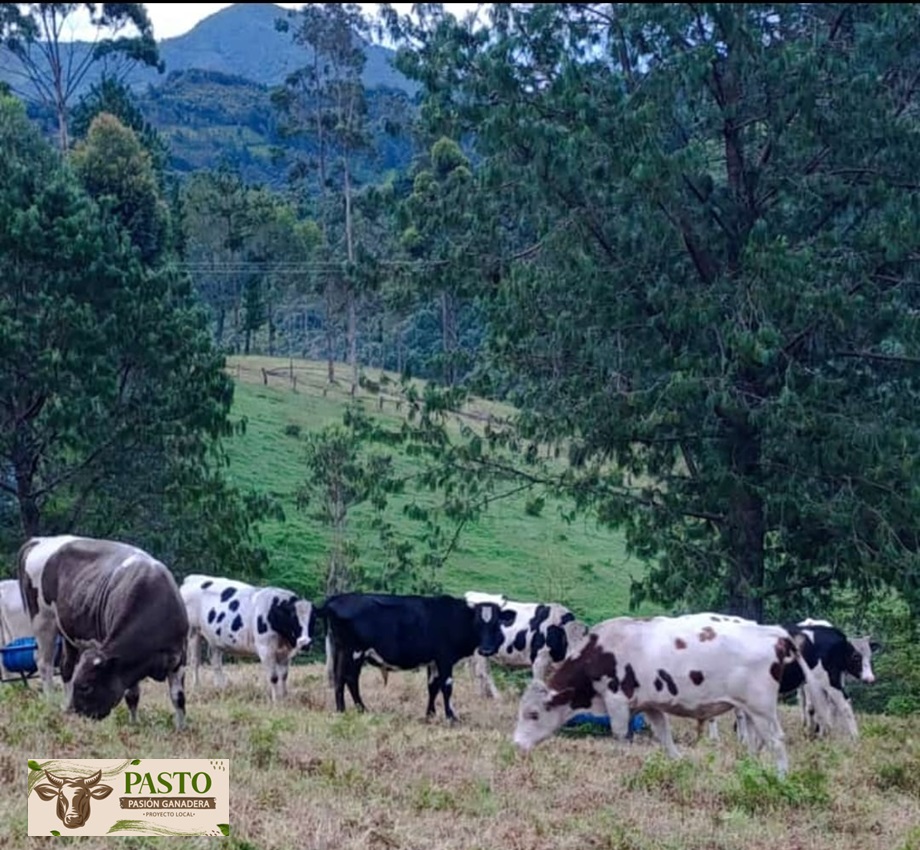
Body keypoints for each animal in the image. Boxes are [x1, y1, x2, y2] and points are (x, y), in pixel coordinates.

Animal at [18, 532, 189, 724]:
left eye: (85, 687)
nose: (77, 712)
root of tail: (41, 540)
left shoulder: (179, 657)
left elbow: (178, 697)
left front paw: (181, 727)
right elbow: (132, 695)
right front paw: (134, 724)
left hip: (68, 634)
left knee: (66, 666)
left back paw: (64, 703)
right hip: (43, 621)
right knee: (44, 664)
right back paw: (50, 702)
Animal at [180, 576, 316, 704]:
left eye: (313, 619)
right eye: (293, 618)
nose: (305, 643)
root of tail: (193, 579)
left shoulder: (285, 653)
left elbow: (283, 676)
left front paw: (284, 698)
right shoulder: (265, 649)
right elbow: (273, 677)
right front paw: (275, 701)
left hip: (215, 638)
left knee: (216, 662)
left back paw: (221, 688)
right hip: (193, 632)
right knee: (195, 661)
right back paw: (197, 687)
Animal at [316, 592, 504, 720]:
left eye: (496, 623)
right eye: (478, 623)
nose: (487, 650)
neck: (454, 617)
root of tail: (336, 599)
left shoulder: (433, 661)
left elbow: (433, 687)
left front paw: (430, 714)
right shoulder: (444, 658)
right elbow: (446, 686)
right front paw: (450, 716)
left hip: (340, 650)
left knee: (339, 678)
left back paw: (342, 709)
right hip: (354, 651)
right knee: (350, 678)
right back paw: (360, 709)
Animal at [512, 608, 832, 776]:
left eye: (533, 714)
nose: (515, 744)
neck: (601, 650)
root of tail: (775, 634)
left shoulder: (617, 699)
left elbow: (620, 735)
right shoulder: (650, 704)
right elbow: (664, 737)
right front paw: (678, 764)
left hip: (762, 708)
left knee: (776, 740)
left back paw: (781, 777)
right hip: (751, 711)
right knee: (758, 742)